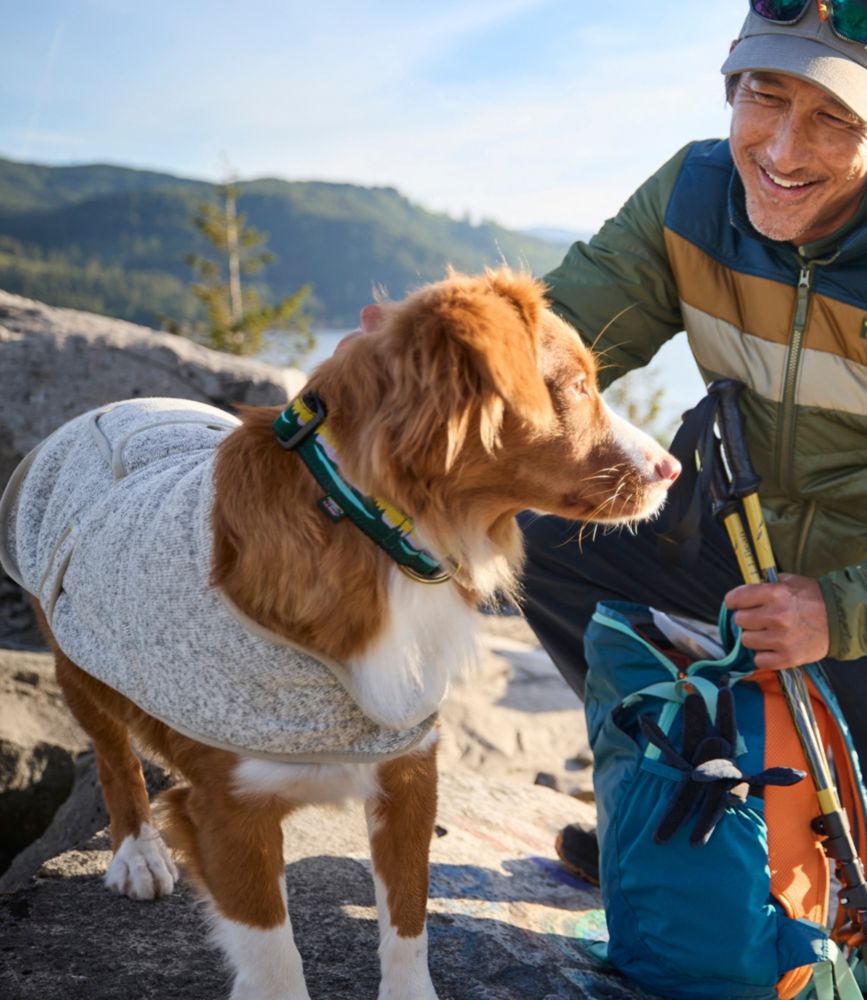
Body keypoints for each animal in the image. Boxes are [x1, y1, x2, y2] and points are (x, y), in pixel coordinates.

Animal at [27, 270, 680, 996]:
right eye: (574, 386)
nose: (673, 469)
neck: (373, 524)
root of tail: (106, 408)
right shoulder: (229, 809)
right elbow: (274, 959)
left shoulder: (409, 767)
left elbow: (408, 919)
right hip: (78, 660)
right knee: (113, 755)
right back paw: (137, 854)